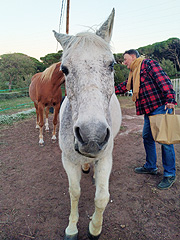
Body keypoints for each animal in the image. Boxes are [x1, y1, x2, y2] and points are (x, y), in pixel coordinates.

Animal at [52, 8, 121, 239]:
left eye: (111, 64)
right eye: (64, 69)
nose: (92, 137)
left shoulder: (106, 157)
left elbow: (102, 197)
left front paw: (94, 229)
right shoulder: (67, 160)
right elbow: (74, 193)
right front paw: (72, 228)